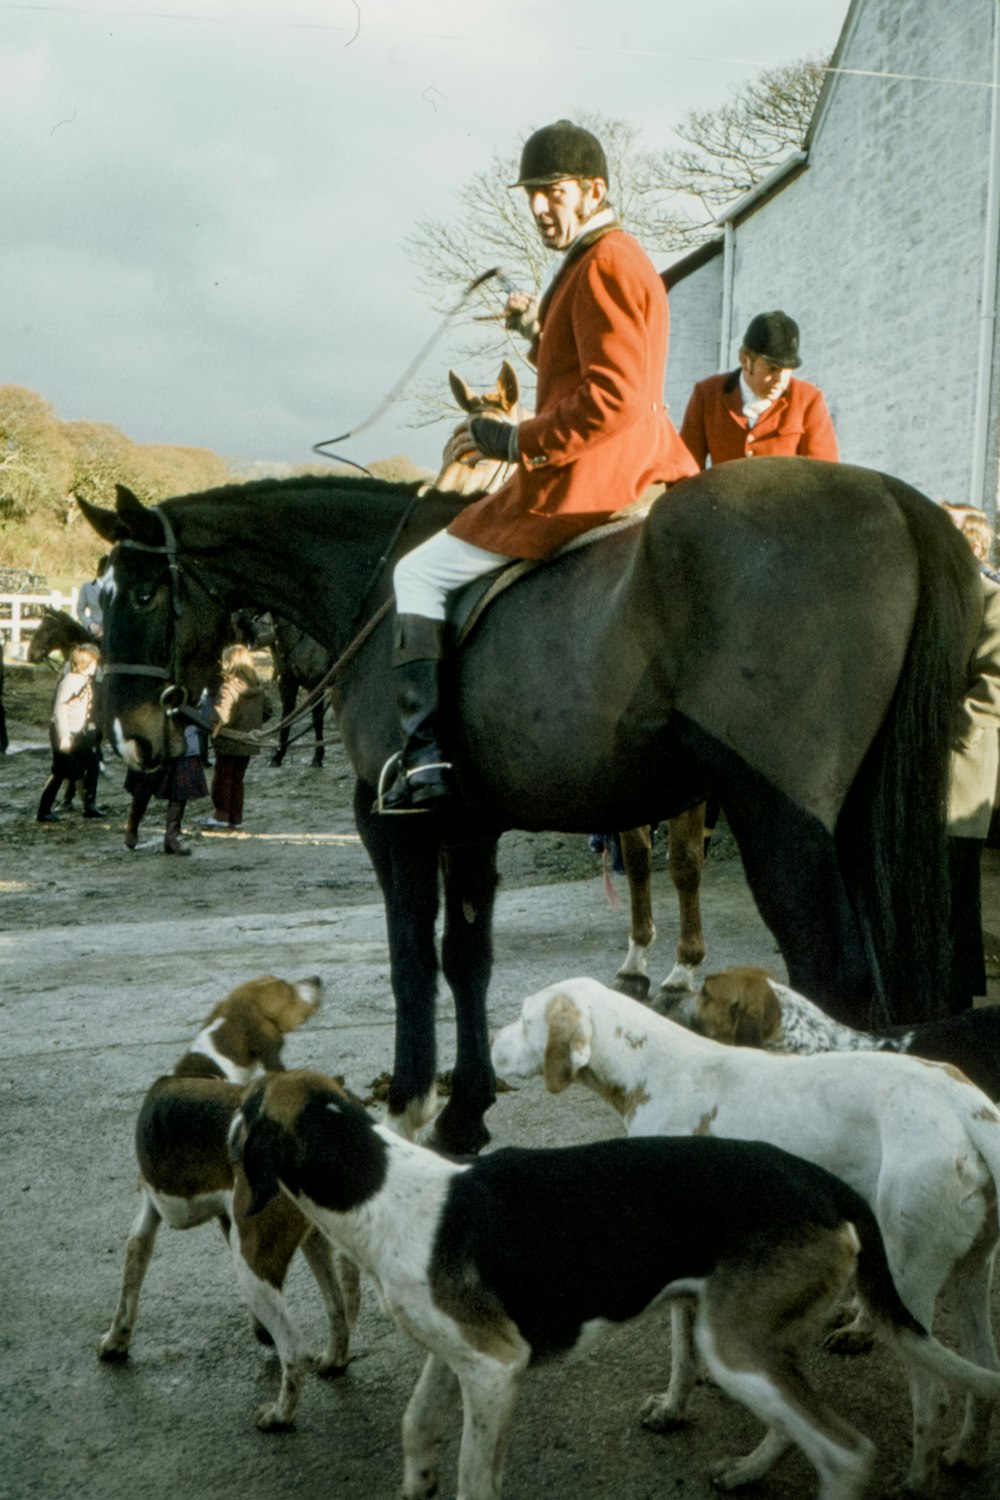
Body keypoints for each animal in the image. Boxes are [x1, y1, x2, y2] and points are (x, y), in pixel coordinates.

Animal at [82, 462, 983, 1152]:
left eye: (143, 593)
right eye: (101, 596)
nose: (129, 738)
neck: (376, 587)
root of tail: (894, 497)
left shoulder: (394, 823)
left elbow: (412, 961)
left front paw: (411, 1103)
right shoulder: (471, 826)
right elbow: (466, 960)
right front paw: (466, 1113)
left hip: (781, 820)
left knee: (834, 977)